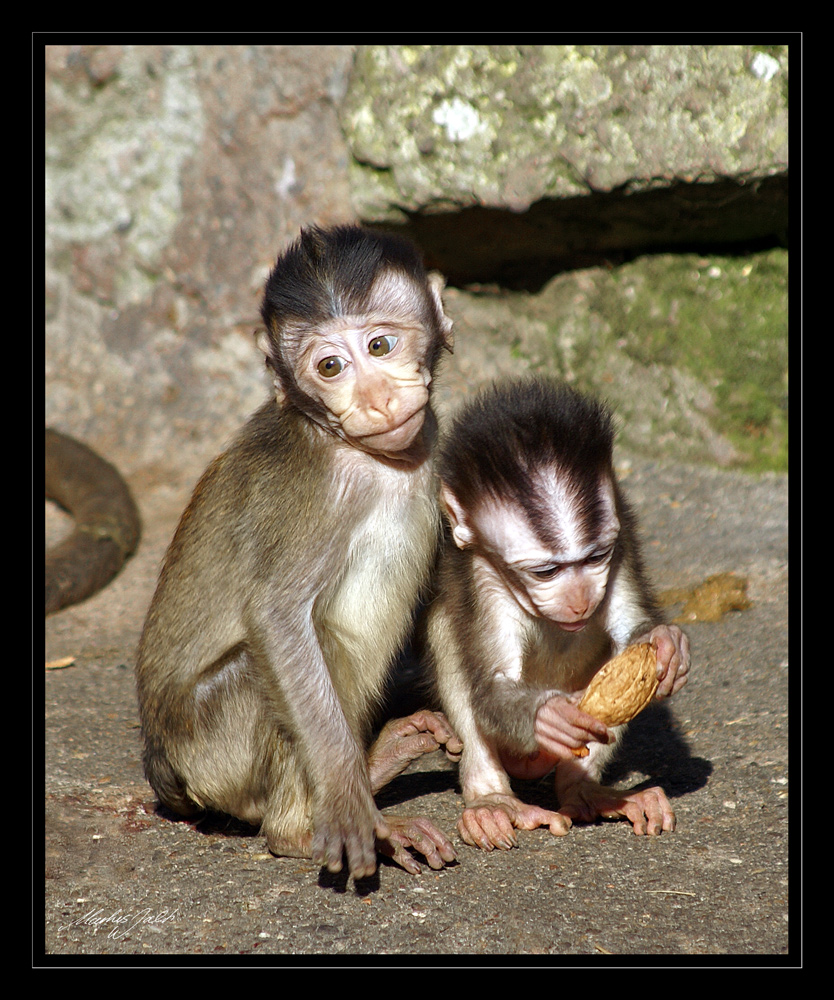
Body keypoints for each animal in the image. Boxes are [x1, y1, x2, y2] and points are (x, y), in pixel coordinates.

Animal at [138, 225, 462, 876]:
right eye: (330, 367)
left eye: (380, 345)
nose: (376, 399)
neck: (366, 457)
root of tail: (163, 770)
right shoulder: (314, 492)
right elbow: (278, 617)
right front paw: (346, 797)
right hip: (209, 743)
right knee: (318, 645)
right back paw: (307, 825)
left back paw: (378, 764)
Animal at [422, 378, 688, 848]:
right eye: (546, 572)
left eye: (596, 557)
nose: (580, 600)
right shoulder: (483, 575)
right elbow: (492, 688)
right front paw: (546, 716)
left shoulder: (621, 541)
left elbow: (632, 633)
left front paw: (666, 643)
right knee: (443, 629)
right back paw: (492, 798)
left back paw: (584, 788)